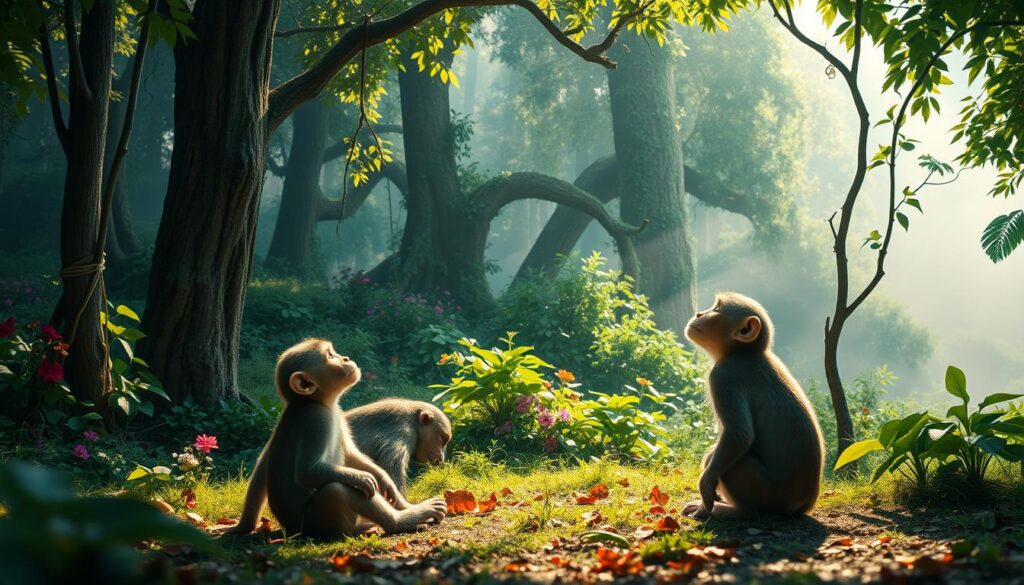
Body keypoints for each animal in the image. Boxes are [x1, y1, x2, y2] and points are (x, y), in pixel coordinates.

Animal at [223, 339, 447, 539]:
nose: (442, 457)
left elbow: (354, 457)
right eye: (442, 439)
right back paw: (401, 519)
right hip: (316, 522)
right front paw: (394, 497)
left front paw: (389, 485)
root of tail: (291, 529)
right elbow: (307, 471)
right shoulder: (321, 421)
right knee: (339, 489)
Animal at [681, 292, 824, 521]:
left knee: (733, 462)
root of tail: (800, 507)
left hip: (767, 495)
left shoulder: (724, 376)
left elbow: (739, 435)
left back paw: (732, 510)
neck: (743, 354)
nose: (699, 314)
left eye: (717, 309)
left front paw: (706, 490)